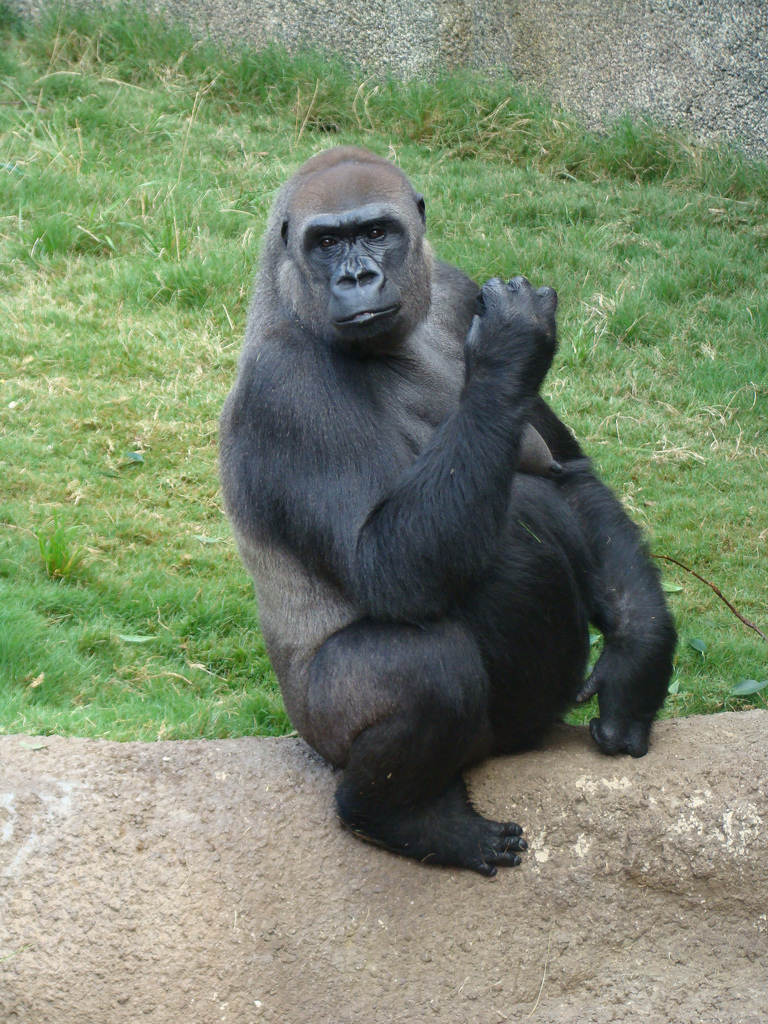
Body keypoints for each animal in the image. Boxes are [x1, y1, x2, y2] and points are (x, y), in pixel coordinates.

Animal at [219, 147, 676, 876]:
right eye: (326, 242)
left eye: (377, 232)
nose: (357, 276)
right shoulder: (288, 384)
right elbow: (387, 566)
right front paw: (511, 348)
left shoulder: (458, 291)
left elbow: (568, 473)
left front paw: (639, 658)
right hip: (320, 733)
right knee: (428, 668)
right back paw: (400, 817)